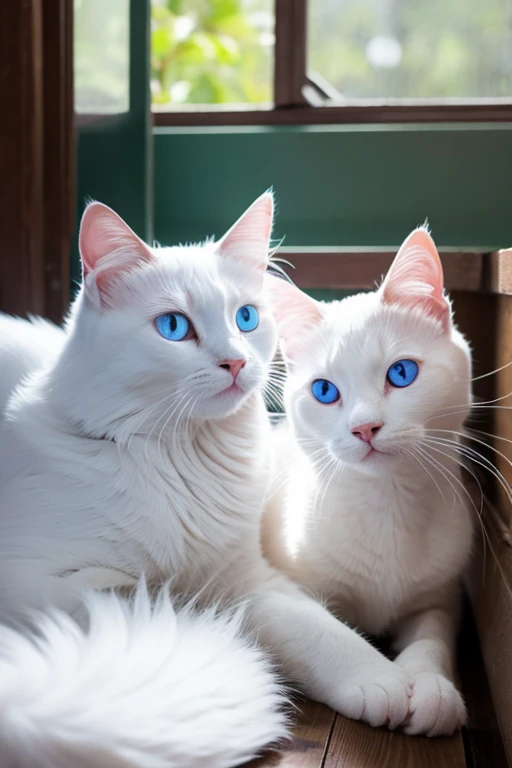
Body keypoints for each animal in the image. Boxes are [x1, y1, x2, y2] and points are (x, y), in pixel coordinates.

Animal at [0, 195, 412, 768]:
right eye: (174, 327)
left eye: (246, 317)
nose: (236, 361)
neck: (185, 461)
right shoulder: (33, 577)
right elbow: (144, 595)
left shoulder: (248, 578)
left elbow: (317, 628)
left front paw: (385, 681)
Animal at [266, 228, 474, 736]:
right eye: (324, 391)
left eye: (402, 372)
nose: (364, 428)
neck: (388, 507)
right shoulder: (276, 586)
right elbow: (316, 628)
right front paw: (376, 678)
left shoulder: (440, 595)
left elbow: (434, 634)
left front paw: (432, 686)